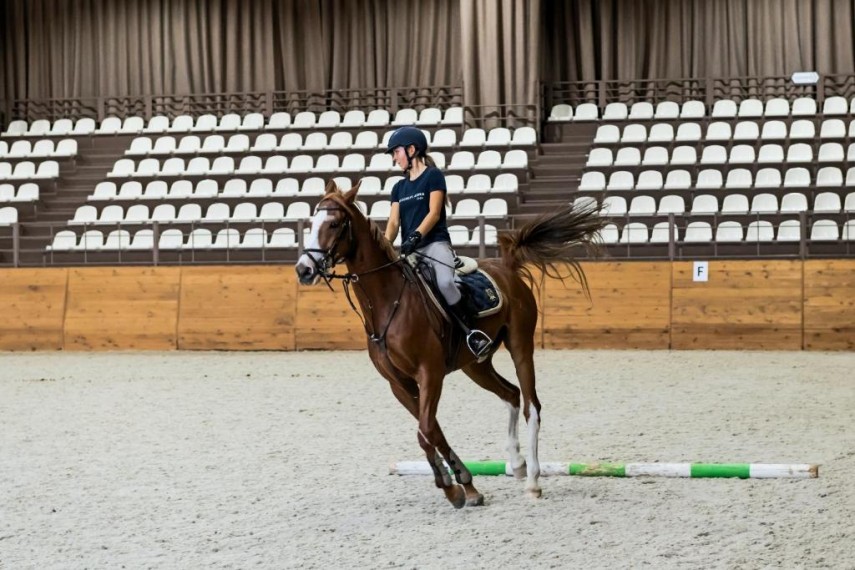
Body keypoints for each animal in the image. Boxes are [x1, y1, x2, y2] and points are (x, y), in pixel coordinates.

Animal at [298, 179, 604, 506]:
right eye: (312, 223)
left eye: (334, 223)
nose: (303, 270)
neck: (388, 301)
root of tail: (506, 267)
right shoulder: (398, 383)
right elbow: (432, 431)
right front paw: (464, 487)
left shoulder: (429, 373)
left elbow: (425, 431)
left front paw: (454, 486)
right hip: (475, 365)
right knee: (510, 393)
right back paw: (517, 464)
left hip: (521, 345)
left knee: (531, 406)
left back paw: (533, 480)